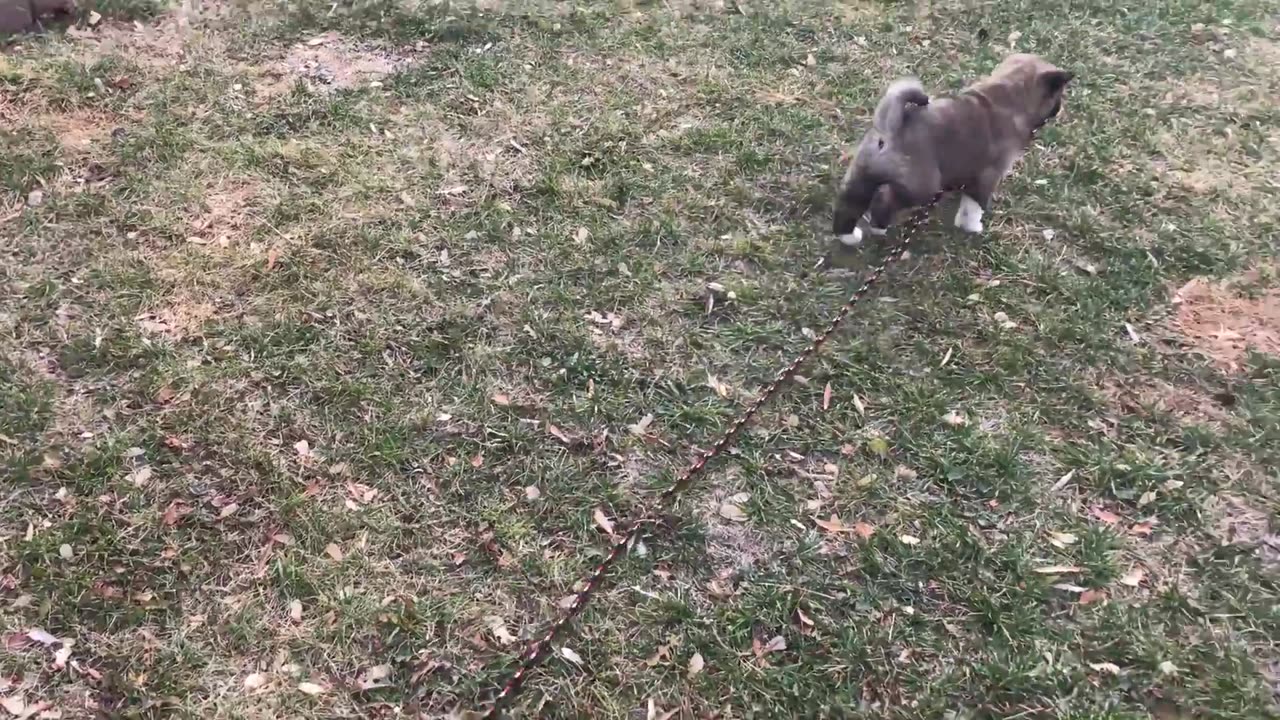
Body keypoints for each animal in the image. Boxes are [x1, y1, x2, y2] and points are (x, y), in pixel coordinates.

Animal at [834, 53, 1075, 243]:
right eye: (1059, 96)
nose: (1059, 109)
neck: (1009, 95)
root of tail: (891, 126)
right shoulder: (988, 177)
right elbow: (974, 207)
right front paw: (973, 227)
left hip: (861, 178)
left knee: (848, 206)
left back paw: (850, 236)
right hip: (922, 186)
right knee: (884, 204)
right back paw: (879, 228)